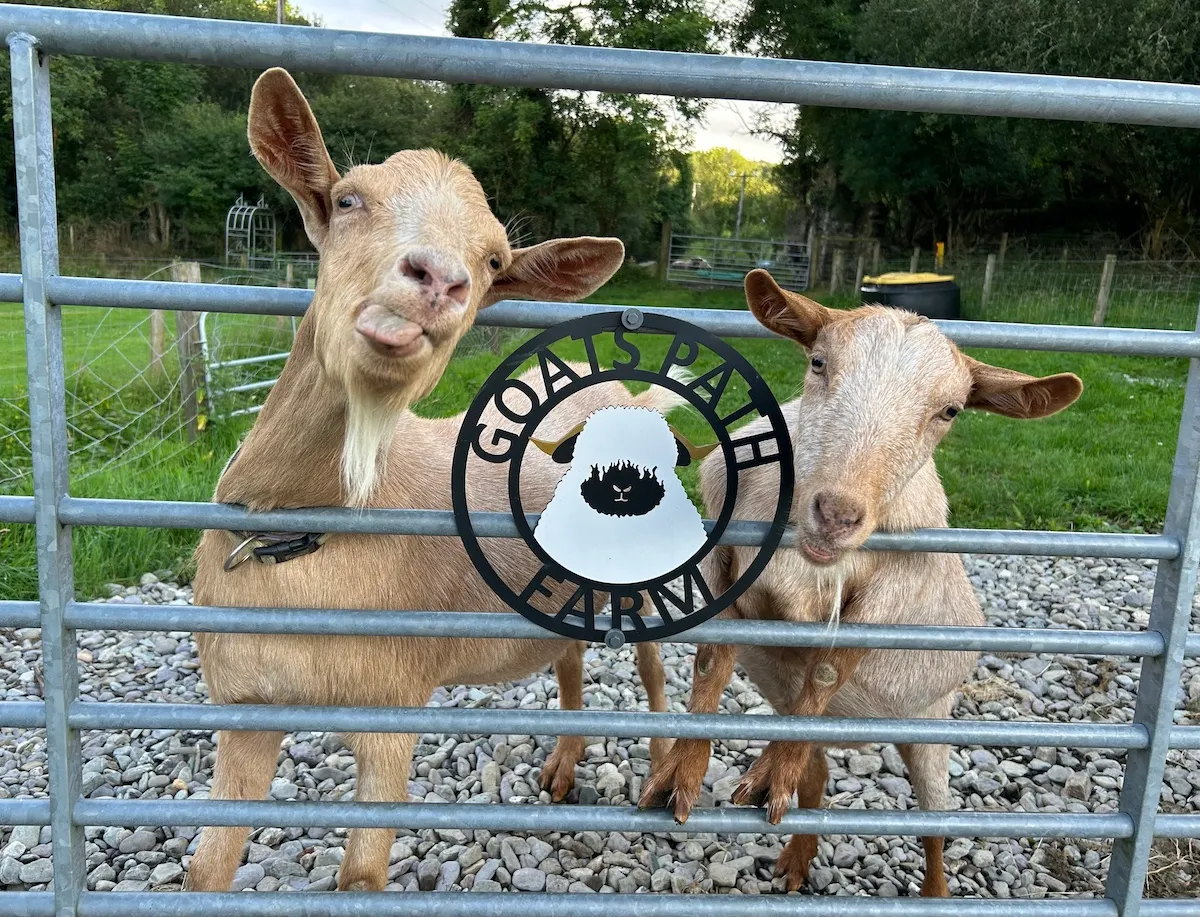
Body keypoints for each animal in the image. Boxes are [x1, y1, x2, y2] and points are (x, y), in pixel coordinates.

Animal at [186, 68, 669, 893]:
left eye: (496, 260)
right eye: (348, 198)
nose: (438, 279)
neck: (299, 531)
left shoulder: (392, 707)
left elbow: (361, 875)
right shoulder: (243, 706)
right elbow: (205, 869)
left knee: (661, 670)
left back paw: (671, 777)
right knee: (571, 657)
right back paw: (563, 767)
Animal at [640, 269, 1083, 896]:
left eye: (951, 410)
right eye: (819, 362)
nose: (837, 514)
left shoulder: (888, 595)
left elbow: (827, 670)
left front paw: (755, 774)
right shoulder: (725, 562)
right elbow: (711, 662)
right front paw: (679, 775)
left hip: (932, 730)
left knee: (935, 826)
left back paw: (932, 892)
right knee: (817, 773)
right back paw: (793, 849)